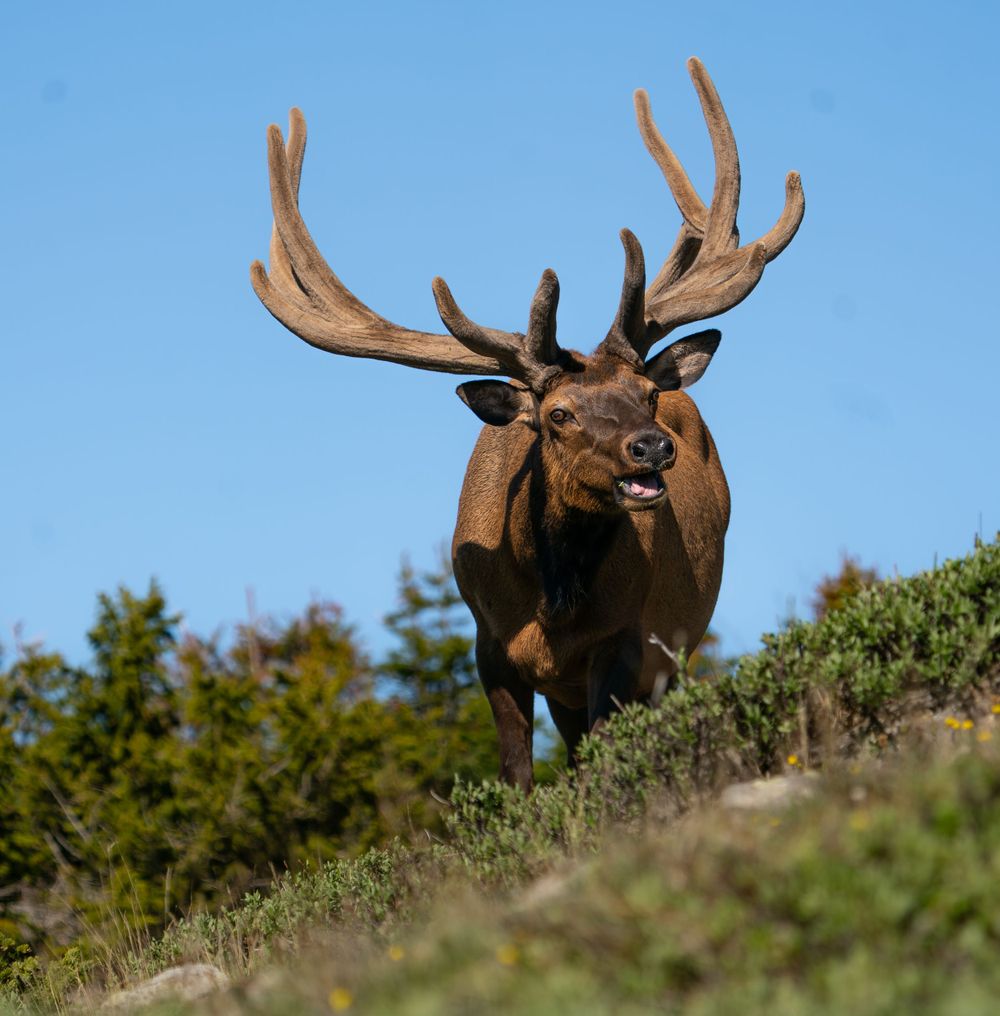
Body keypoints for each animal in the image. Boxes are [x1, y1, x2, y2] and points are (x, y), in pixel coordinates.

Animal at [250, 58, 804, 792]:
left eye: (647, 394)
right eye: (557, 415)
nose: (651, 447)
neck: (553, 603)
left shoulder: (628, 642)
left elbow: (601, 757)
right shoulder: (488, 645)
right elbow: (517, 771)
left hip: (677, 646)